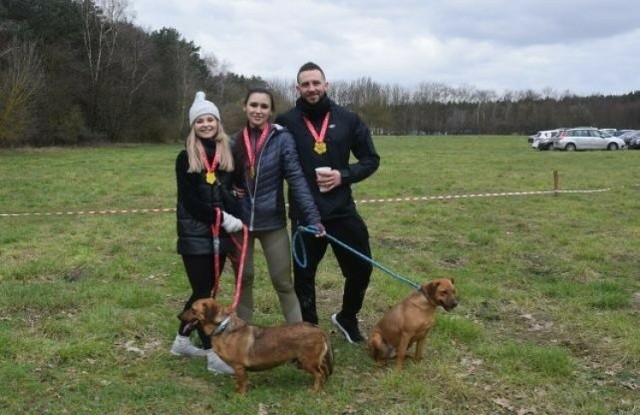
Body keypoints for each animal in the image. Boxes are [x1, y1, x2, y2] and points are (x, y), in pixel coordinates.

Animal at [179, 300, 332, 394]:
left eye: (193, 309)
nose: (178, 316)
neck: (222, 327)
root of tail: (318, 328)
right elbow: (241, 382)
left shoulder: (239, 367)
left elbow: (242, 382)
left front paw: (240, 395)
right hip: (315, 361)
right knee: (323, 372)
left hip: (308, 361)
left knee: (319, 374)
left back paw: (315, 390)